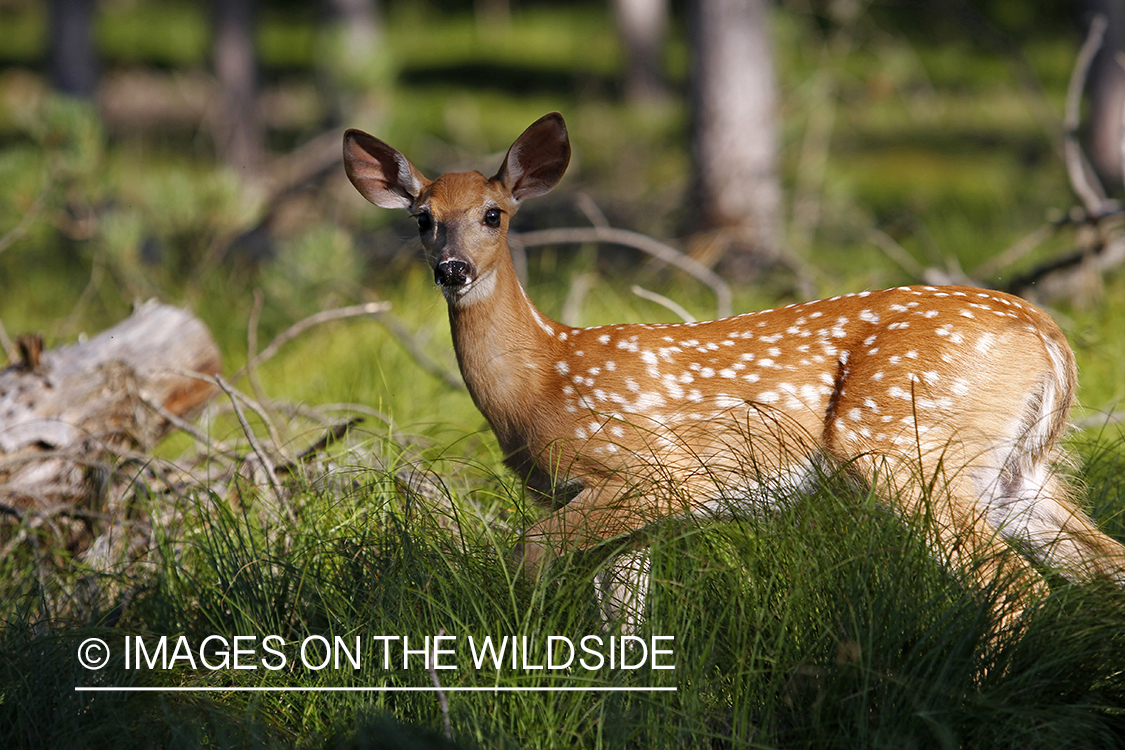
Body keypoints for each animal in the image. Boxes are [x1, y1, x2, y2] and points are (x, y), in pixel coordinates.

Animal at [343, 111, 1125, 635]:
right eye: (421, 219)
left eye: (494, 214)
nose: (452, 269)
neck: (541, 377)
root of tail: (1049, 333)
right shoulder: (626, 519)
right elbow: (625, 625)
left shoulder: (648, 474)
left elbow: (525, 556)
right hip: (1015, 472)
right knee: (1103, 566)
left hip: (905, 445)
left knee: (1014, 586)